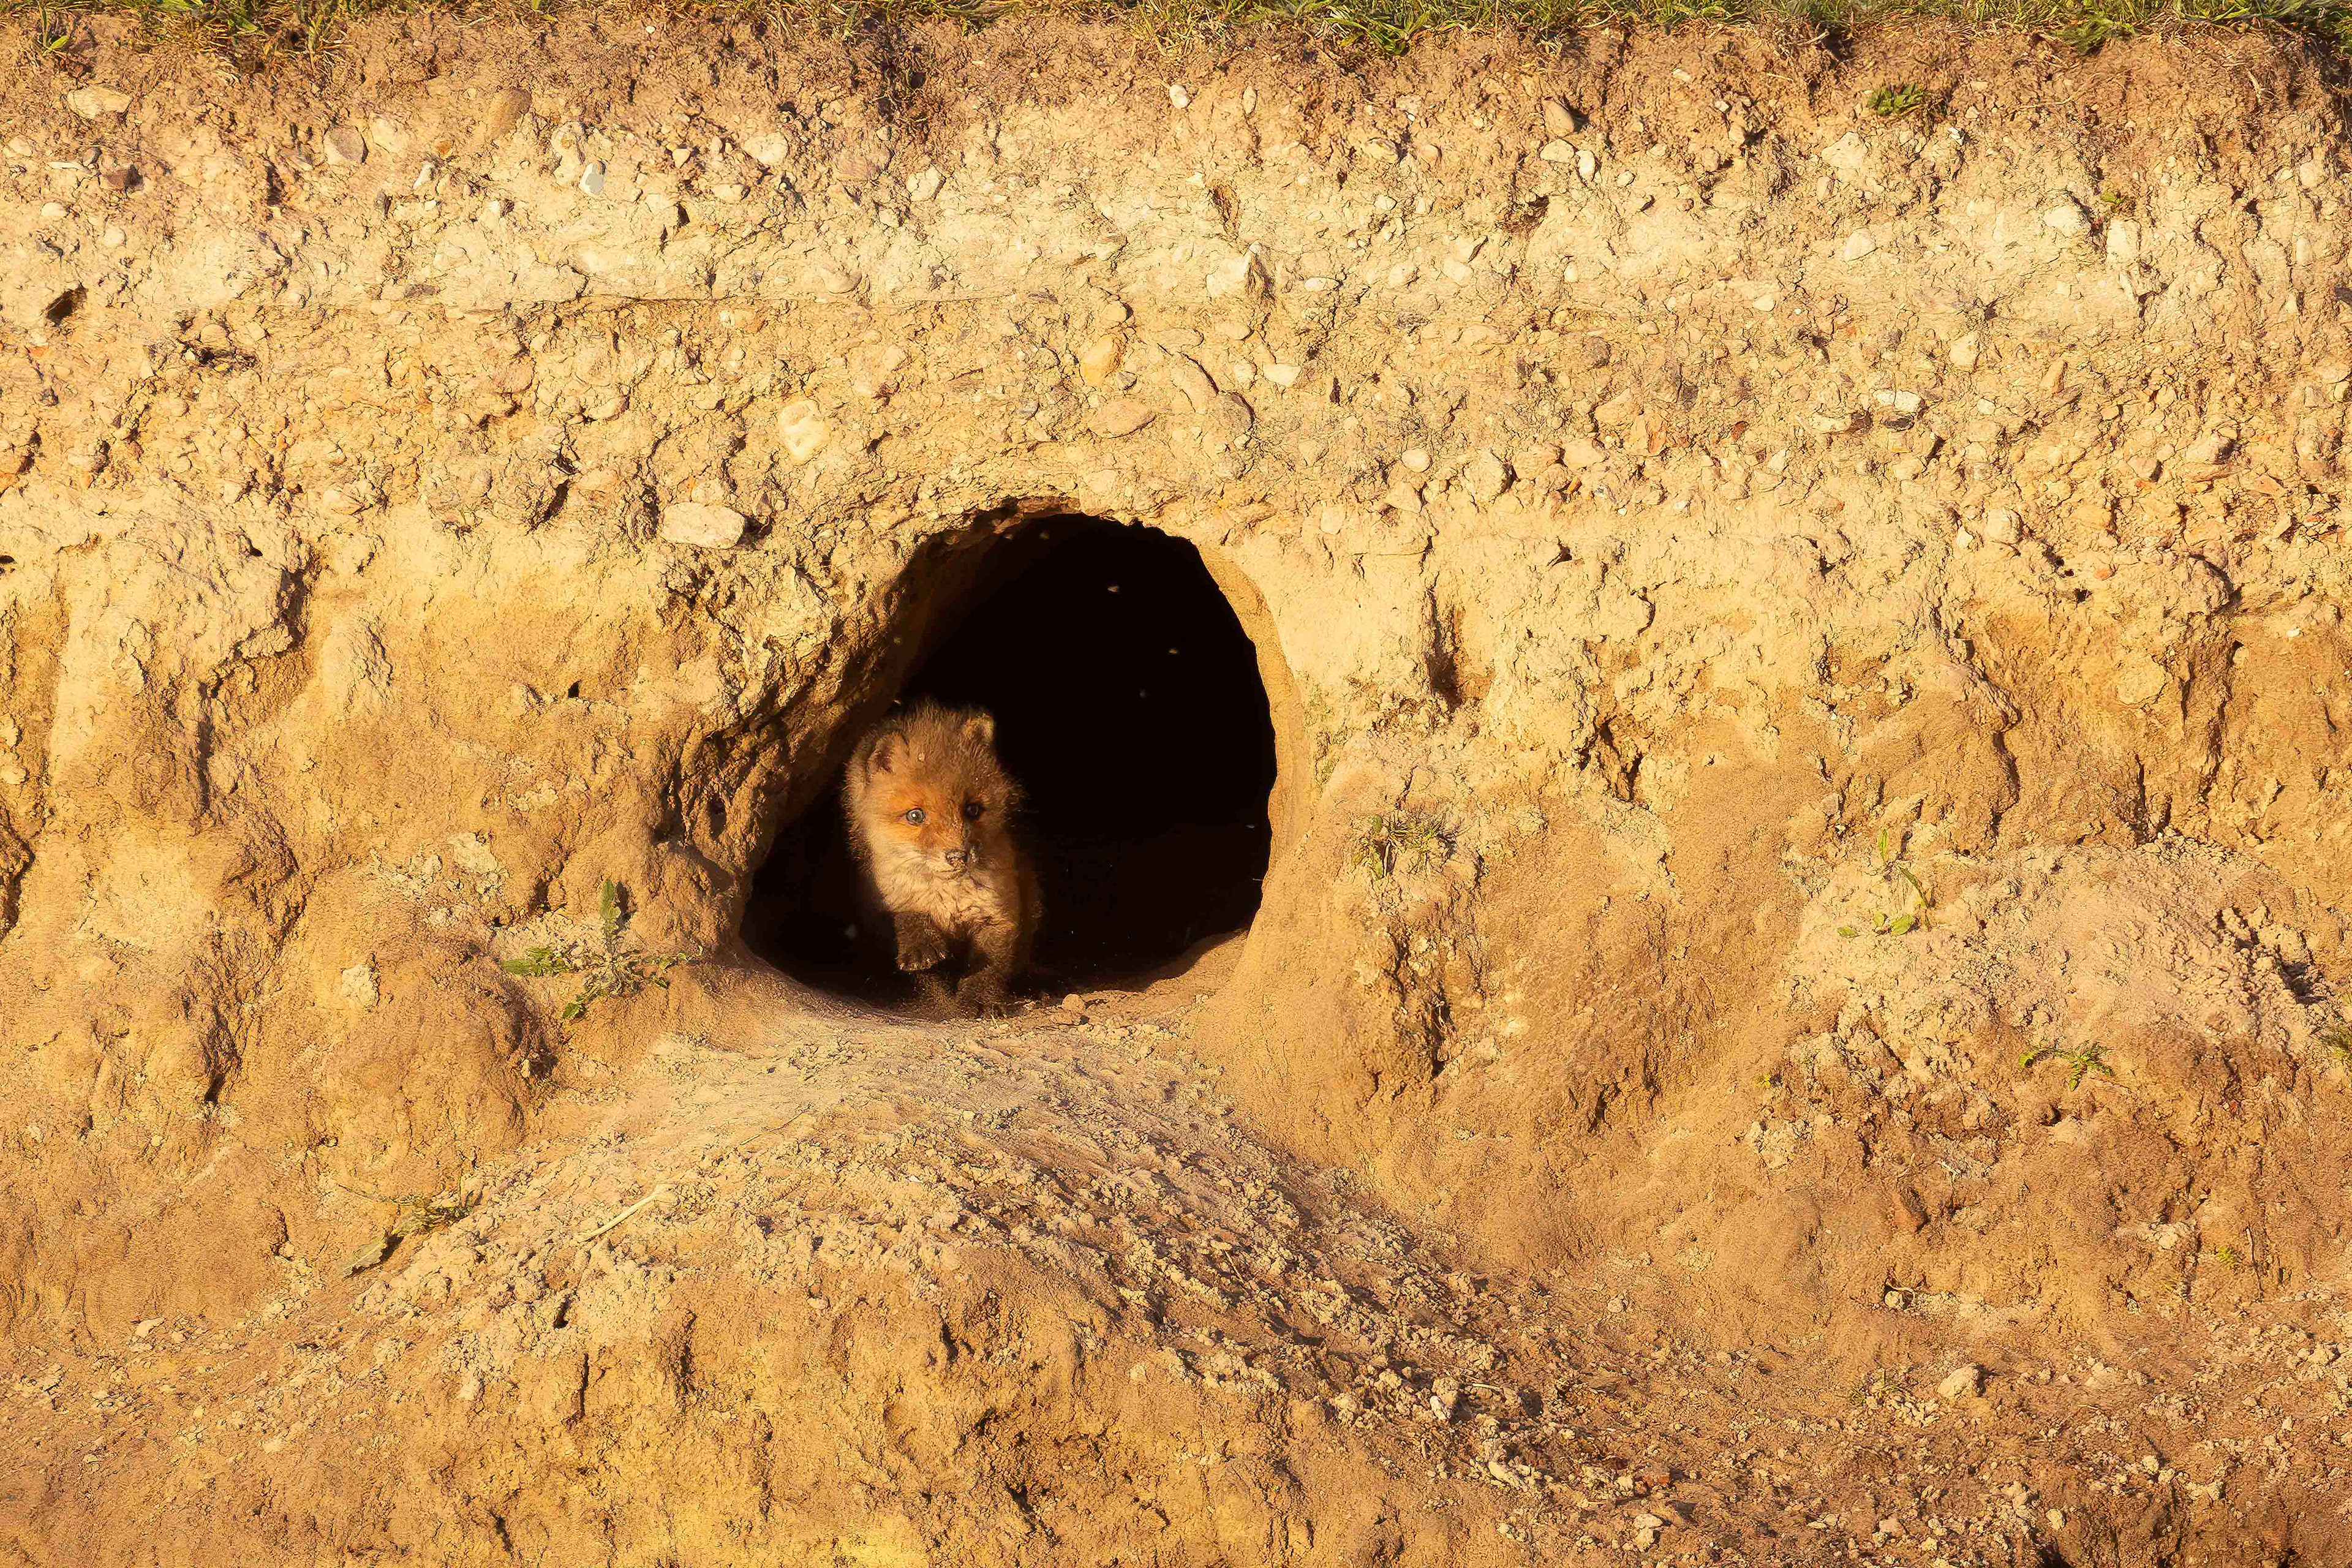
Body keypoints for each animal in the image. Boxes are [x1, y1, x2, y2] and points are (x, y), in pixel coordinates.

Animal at [842, 701, 1042, 1017]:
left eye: (972, 810)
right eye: (915, 815)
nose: (959, 856)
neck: (947, 894)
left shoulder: (999, 916)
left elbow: (987, 968)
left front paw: (978, 1001)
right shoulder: (885, 903)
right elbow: (914, 938)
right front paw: (939, 999)